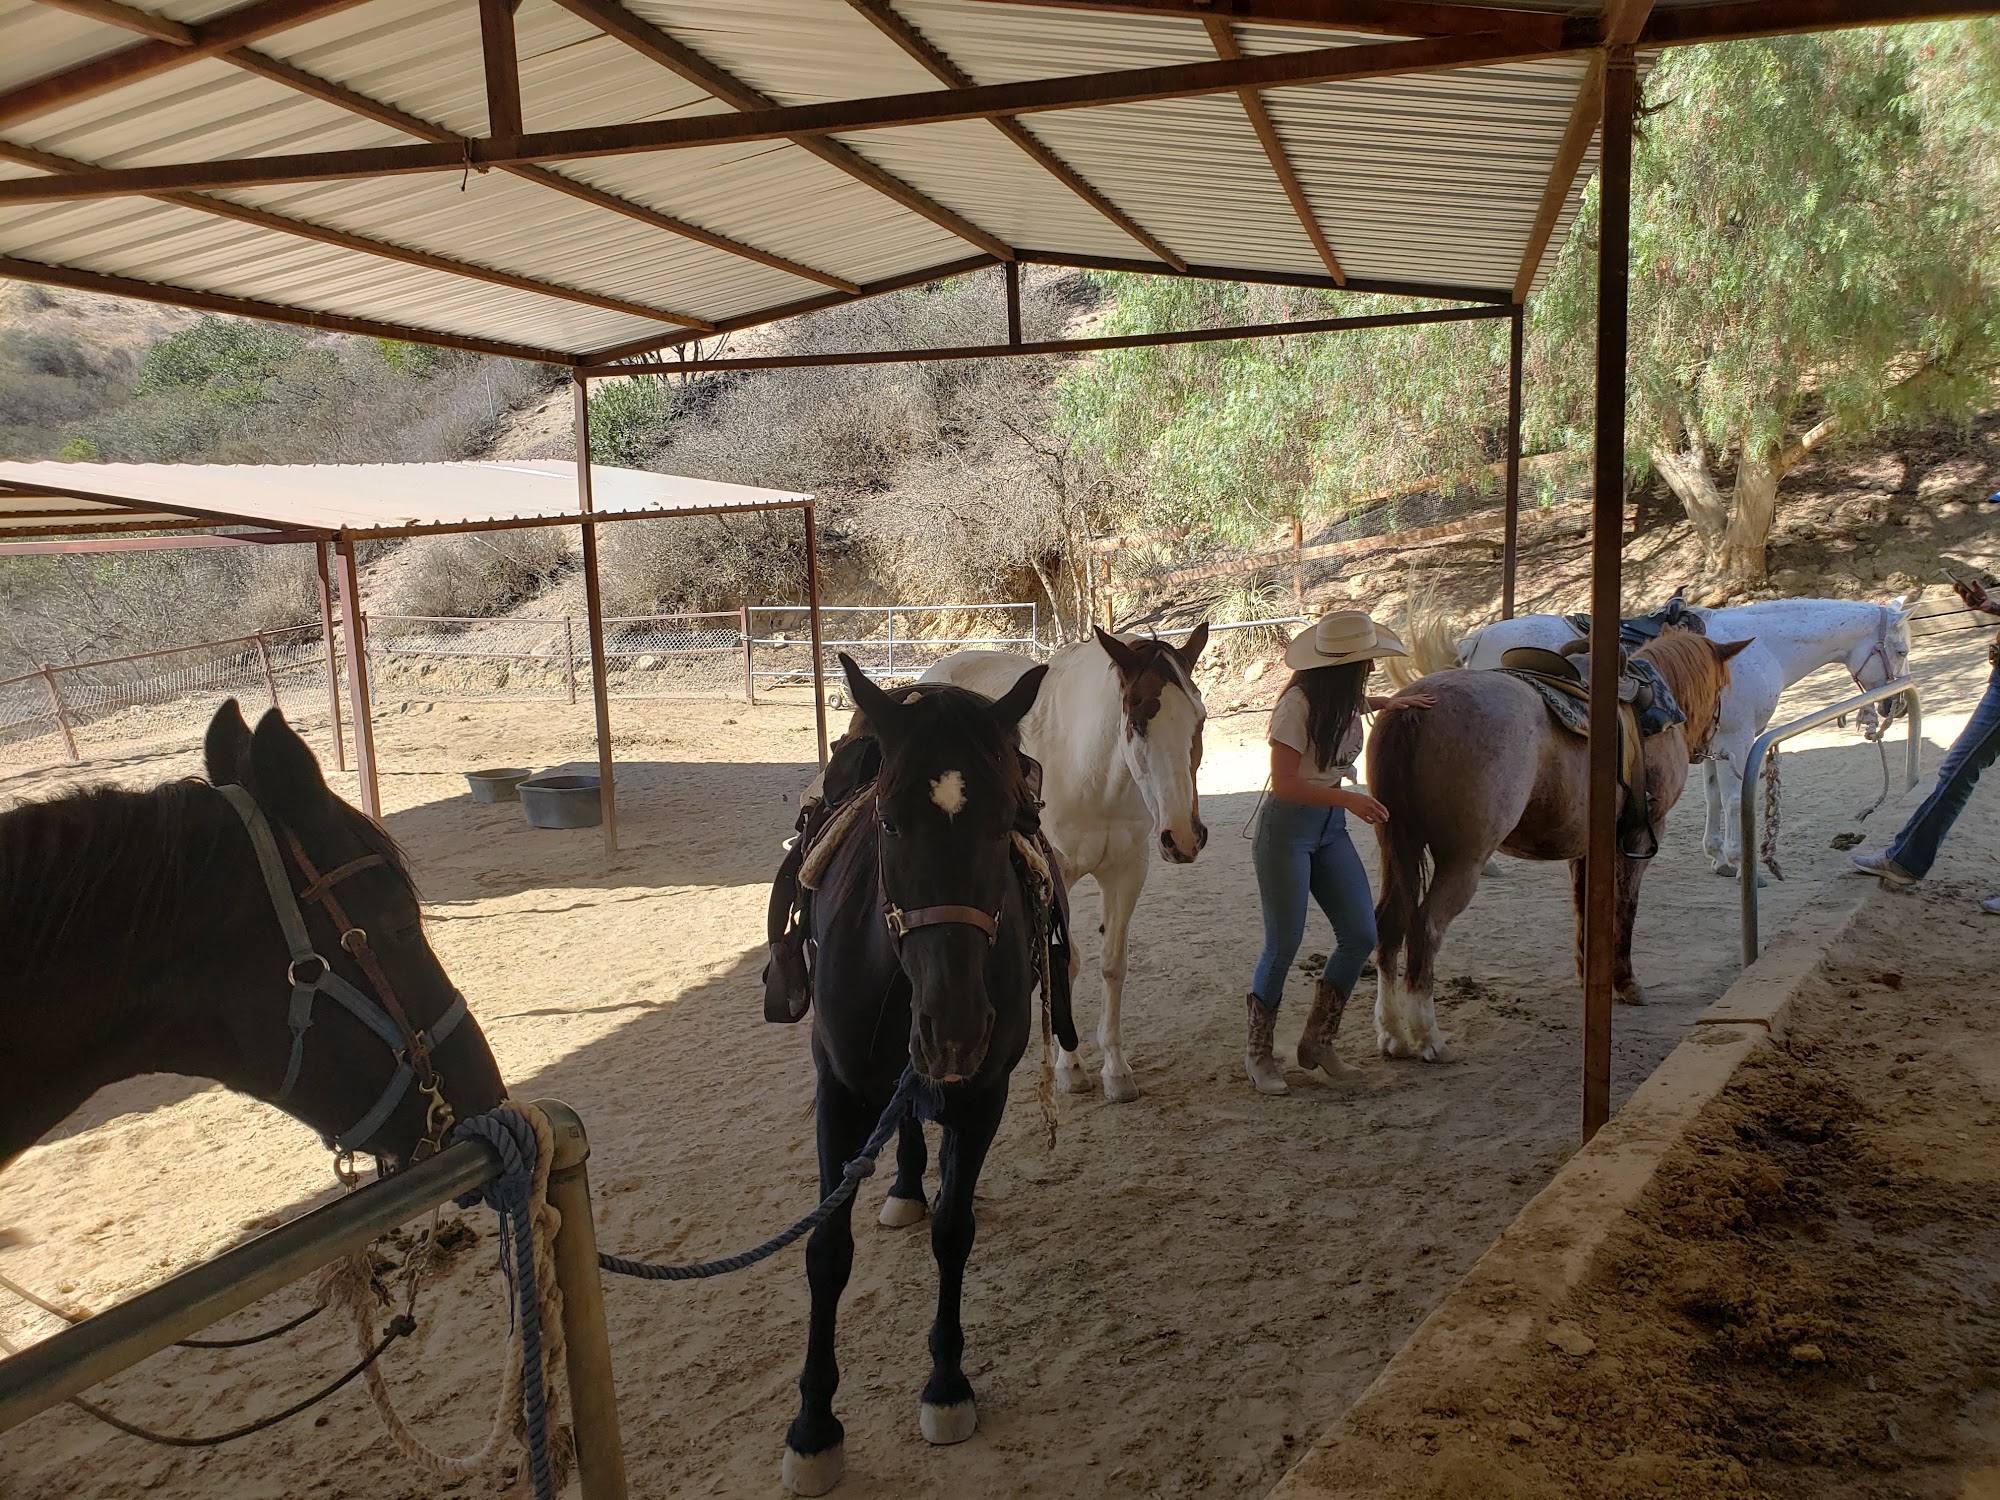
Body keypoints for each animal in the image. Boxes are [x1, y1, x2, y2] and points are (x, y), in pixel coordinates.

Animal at [780, 656, 1056, 1496]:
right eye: (891, 822)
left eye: (1005, 823)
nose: (957, 1028)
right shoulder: (836, 1094)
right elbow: (825, 1249)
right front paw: (814, 1425)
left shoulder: (983, 1096)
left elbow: (954, 1233)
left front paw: (947, 1383)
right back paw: (902, 1183)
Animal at [920, 624, 1200, 1104]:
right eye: (1137, 721)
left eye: (1199, 718)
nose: (1182, 837)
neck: (1091, 771)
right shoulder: (1055, 879)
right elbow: (1063, 963)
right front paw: (1071, 1068)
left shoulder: (1128, 871)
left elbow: (1112, 964)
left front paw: (1116, 1071)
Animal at [1368, 628, 1744, 1064]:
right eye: (1722, 691)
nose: (1710, 747)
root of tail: (1413, 707)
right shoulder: (1640, 837)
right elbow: (1626, 906)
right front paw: (1626, 982)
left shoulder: (1586, 847)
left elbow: (1585, 905)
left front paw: (1588, 972)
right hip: (1463, 862)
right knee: (1425, 929)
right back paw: (1428, 1037)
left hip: (1396, 848)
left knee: (1388, 924)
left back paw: (1393, 1033)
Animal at [1464, 600, 1912, 880]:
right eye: (1902, 650)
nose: (1898, 706)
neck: (1764, 647)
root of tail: (1478, 638)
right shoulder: (1739, 740)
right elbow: (1734, 799)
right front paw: (1739, 862)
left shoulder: (1715, 740)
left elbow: (1714, 795)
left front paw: (1717, 856)